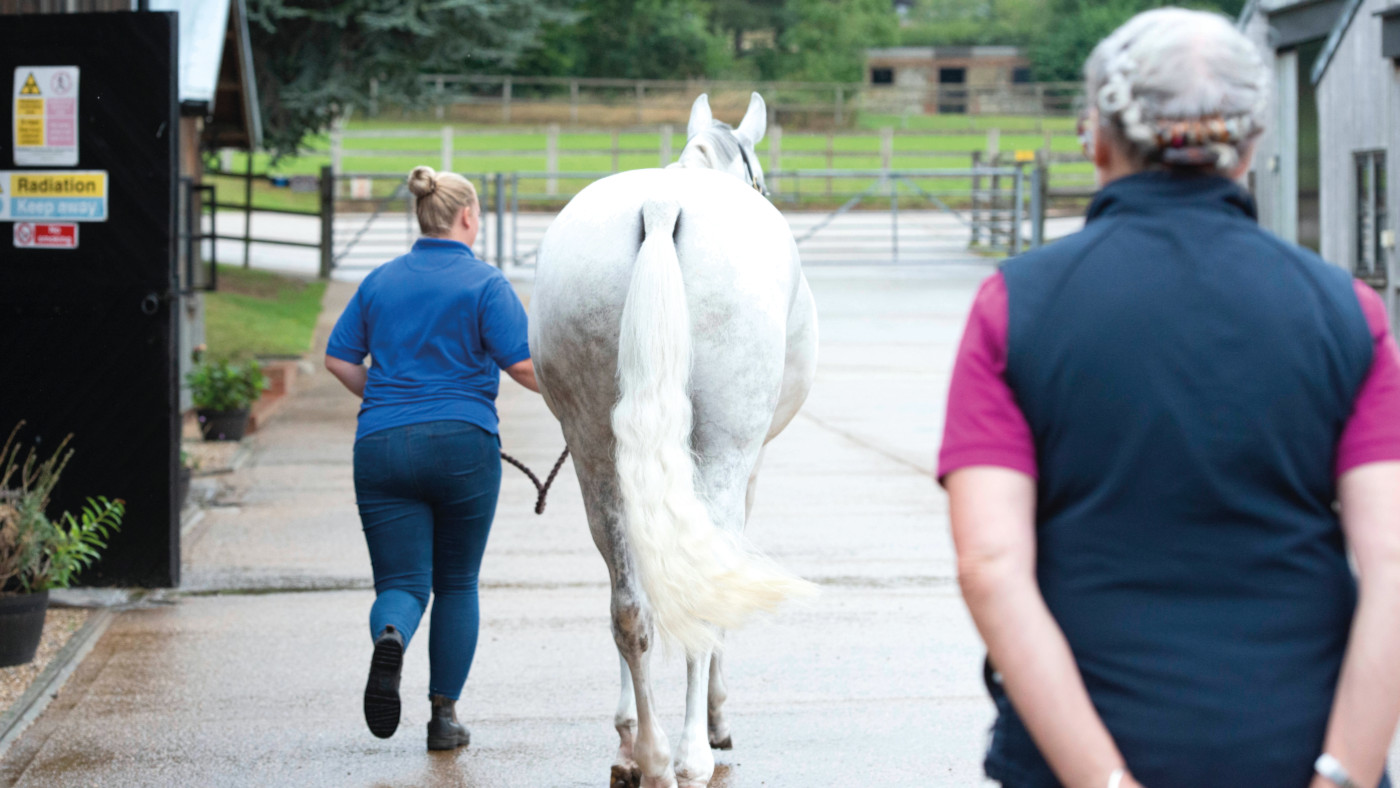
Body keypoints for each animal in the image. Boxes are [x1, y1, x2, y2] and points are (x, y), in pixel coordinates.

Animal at [529, 92, 819, 788]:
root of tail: (661, 209)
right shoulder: (748, 469)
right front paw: (715, 717)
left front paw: (626, 729)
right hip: (722, 456)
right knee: (697, 590)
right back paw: (688, 755)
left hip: (595, 456)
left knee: (629, 606)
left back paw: (653, 756)